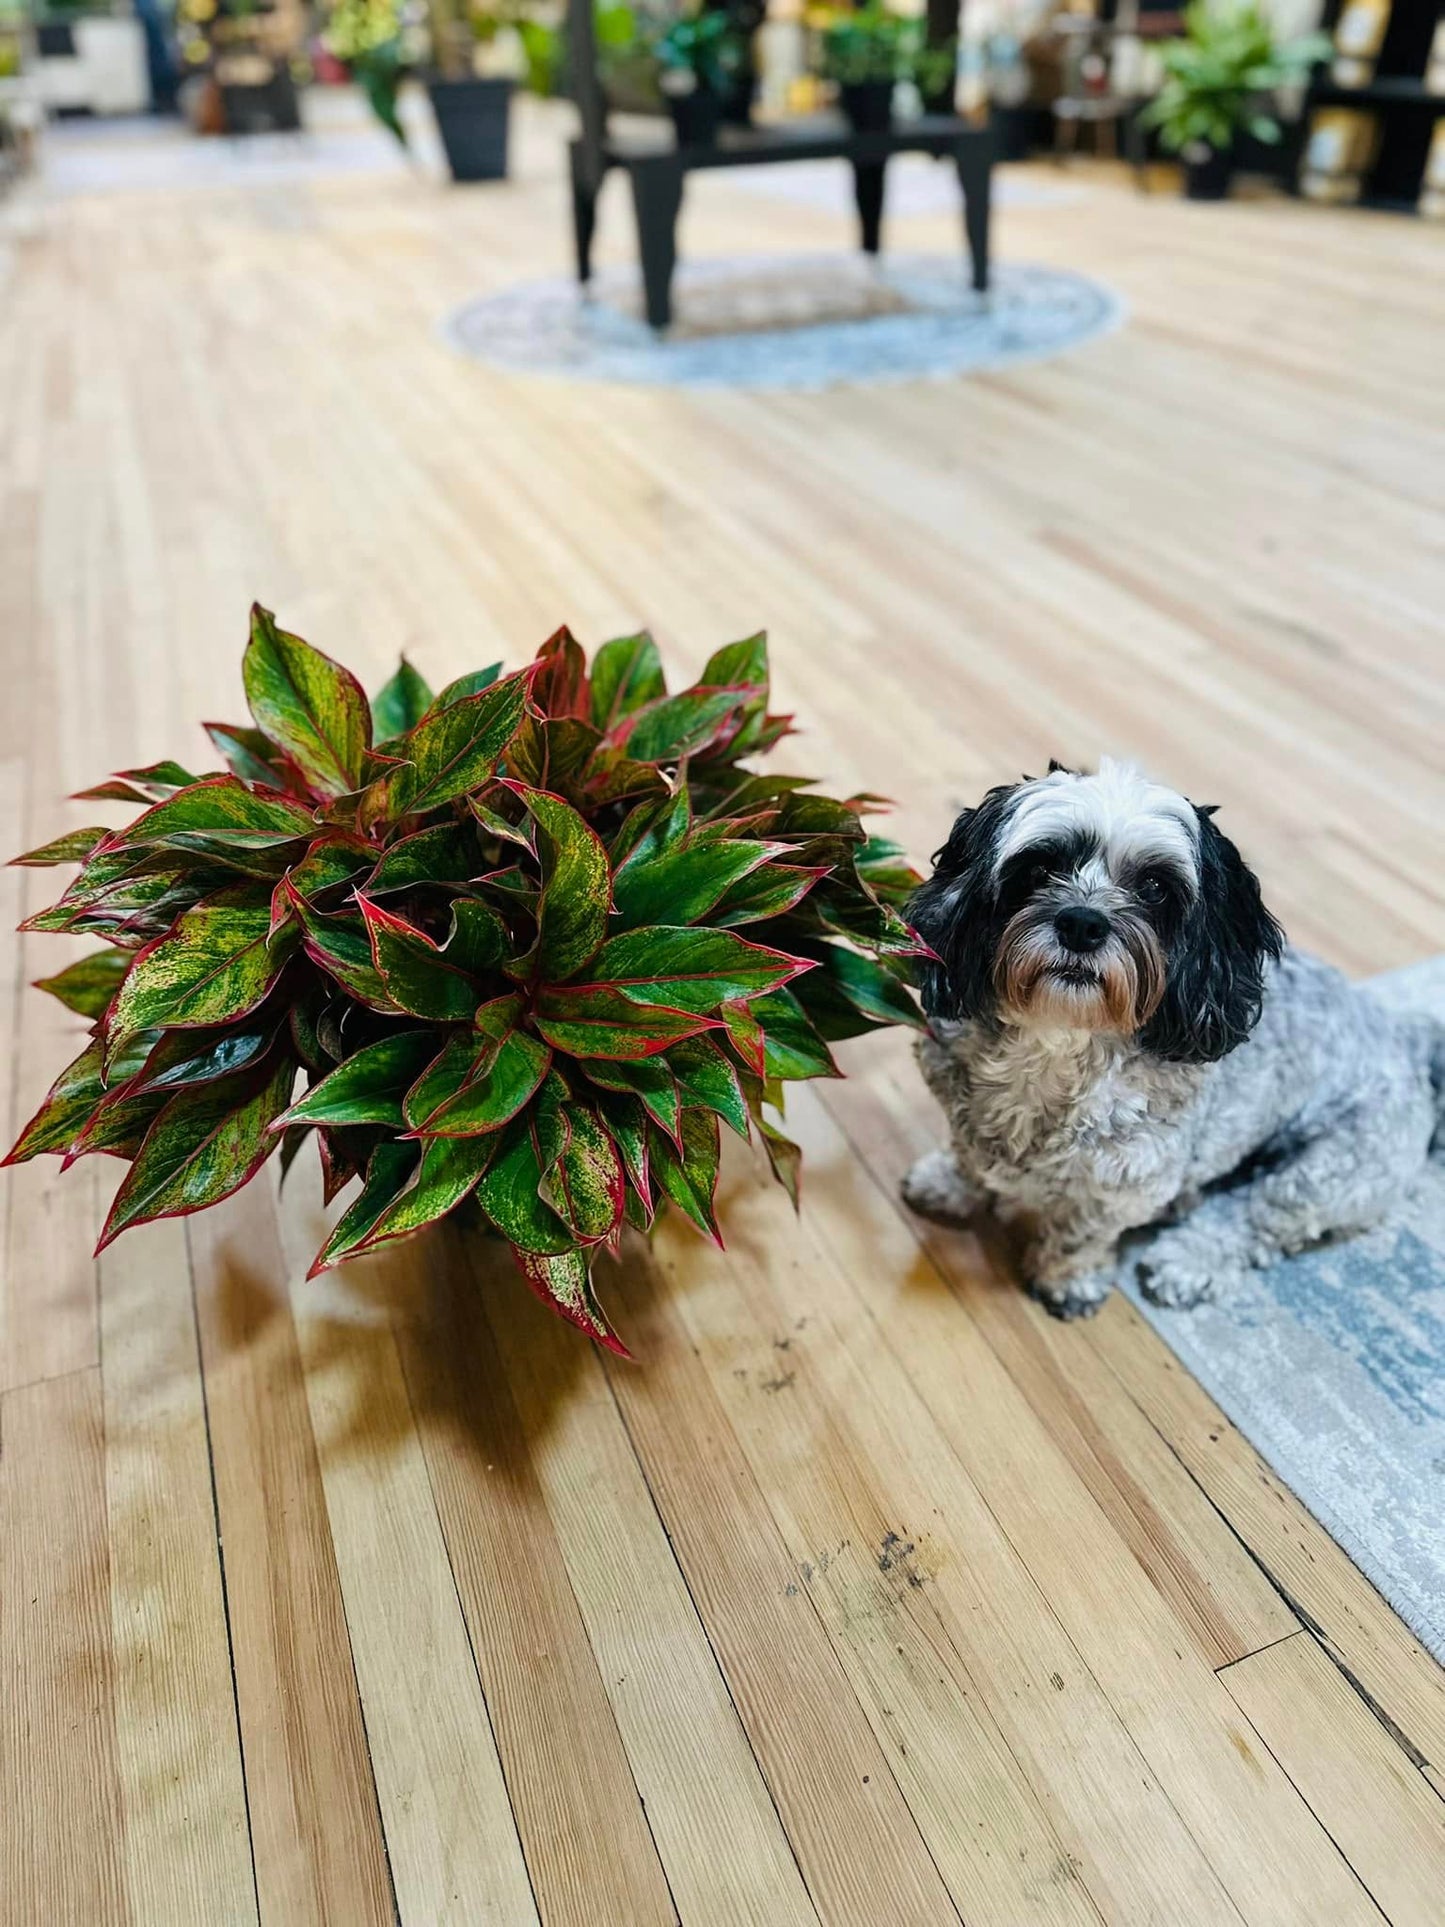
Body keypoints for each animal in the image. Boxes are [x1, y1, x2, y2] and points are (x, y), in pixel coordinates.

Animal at [905, 759, 1445, 1318]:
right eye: (1038, 868)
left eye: (1154, 887)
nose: (1082, 923)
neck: (1058, 1044)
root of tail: (1407, 1036)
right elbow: (969, 1159)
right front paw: (947, 1183)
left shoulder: (1125, 1180)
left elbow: (1080, 1232)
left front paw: (1068, 1280)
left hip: (1335, 1172)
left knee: (1258, 1219)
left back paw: (1187, 1262)